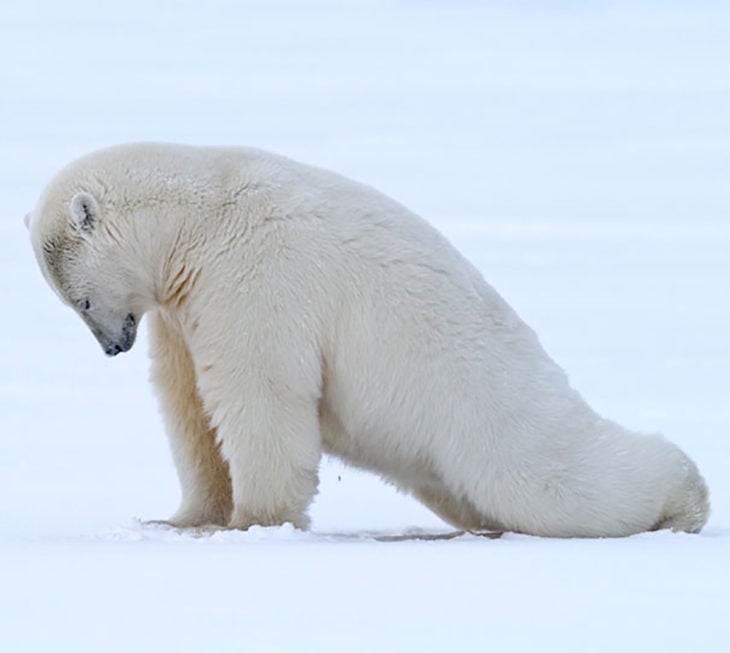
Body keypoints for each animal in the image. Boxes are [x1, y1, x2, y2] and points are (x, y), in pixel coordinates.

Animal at [27, 143, 704, 536]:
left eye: (80, 301)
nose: (113, 347)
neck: (197, 218)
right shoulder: (182, 308)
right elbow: (189, 405)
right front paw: (182, 519)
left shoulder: (257, 273)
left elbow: (259, 392)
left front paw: (254, 523)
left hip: (482, 400)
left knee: (547, 479)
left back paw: (684, 499)